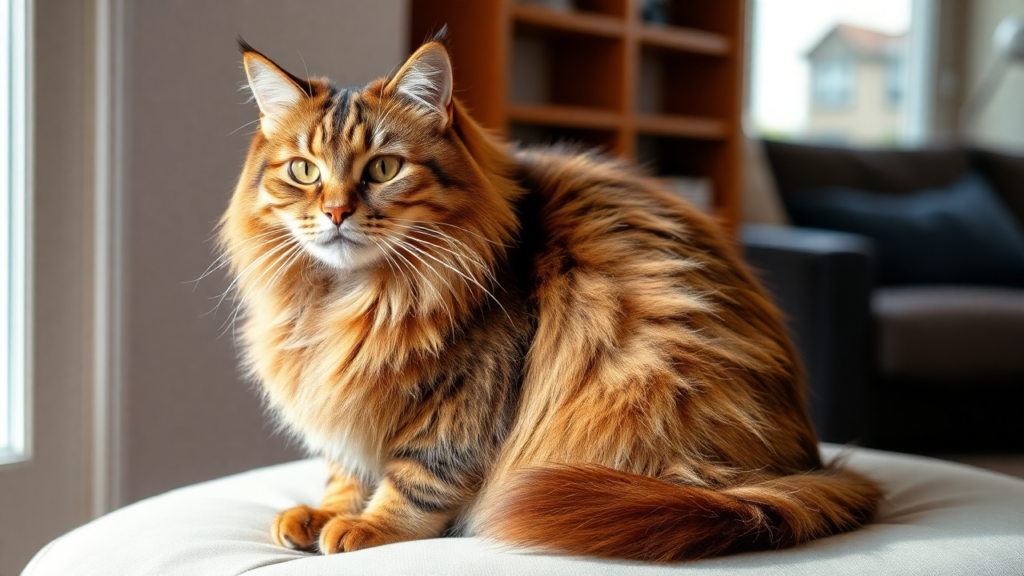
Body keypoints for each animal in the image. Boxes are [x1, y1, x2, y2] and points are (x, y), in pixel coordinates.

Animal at [220, 33, 884, 557]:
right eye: (304, 171)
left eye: (383, 168)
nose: (335, 212)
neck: (349, 298)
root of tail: (806, 470)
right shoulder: (345, 400)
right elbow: (345, 470)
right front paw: (325, 512)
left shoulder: (469, 396)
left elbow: (418, 477)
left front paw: (364, 528)